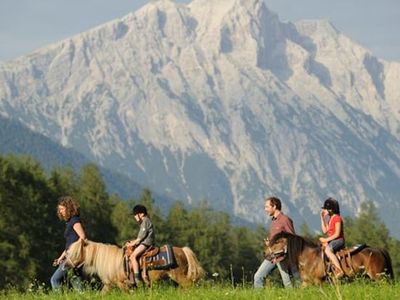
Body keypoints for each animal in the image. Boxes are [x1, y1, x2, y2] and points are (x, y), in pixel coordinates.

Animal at [66, 239, 205, 292]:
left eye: (76, 253)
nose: (66, 265)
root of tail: (183, 250)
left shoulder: (122, 284)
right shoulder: (109, 285)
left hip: (180, 277)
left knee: (190, 286)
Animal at [266, 231, 394, 288]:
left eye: (277, 242)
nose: (265, 253)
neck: (309, 258)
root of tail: (378, 249)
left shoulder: (319, 282)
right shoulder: (306, 282)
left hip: (379, 277)